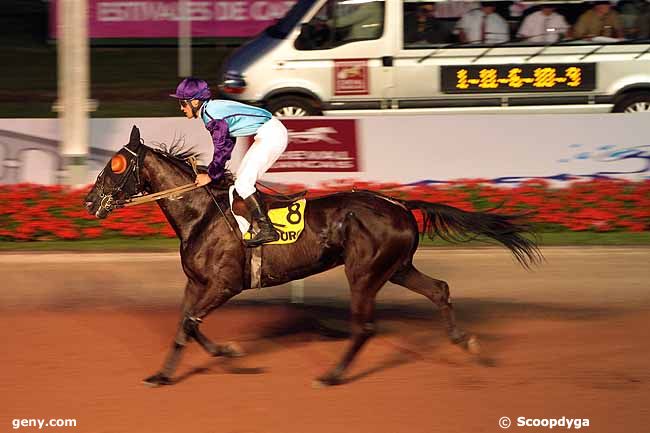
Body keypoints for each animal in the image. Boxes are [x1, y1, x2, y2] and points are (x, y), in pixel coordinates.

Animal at [86, 125, 540, 384]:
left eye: (116, 165)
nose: (90, 202)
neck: (202, 214)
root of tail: (397, 203)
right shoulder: (196, 283)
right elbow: (184, 325)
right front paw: (164, 374)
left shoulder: (225, 283)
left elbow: (192, 323)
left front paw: (229, 353)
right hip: (396, 267)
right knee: (440, 289)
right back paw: (466, 342)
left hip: (364, 272)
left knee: (366, 326)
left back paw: (334, 375)